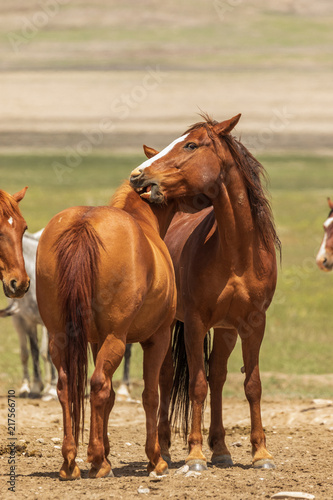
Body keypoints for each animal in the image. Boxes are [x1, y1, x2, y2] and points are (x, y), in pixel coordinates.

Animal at [35, 182, 176, 478]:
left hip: (59, 339)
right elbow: (150, 396)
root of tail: (84, 223)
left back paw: (70, 461)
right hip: (117, 339)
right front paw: (155, 459)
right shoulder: (158, 338)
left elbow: (110, 398)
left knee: (67, 387)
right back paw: (98, 460)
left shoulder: (95, 341)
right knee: (99, 384)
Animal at [130, 112, 280, 468]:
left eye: (191, 145)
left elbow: (251, 384)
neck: (237, 254)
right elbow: (196, 385)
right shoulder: (196, 323)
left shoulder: (253, 324)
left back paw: (222, 449)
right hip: (172, 324)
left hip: (225, 331)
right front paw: (195, 453)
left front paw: (260, 453)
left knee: (218, 376)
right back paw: (166, 447)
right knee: (168, 376)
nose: (138, 176)